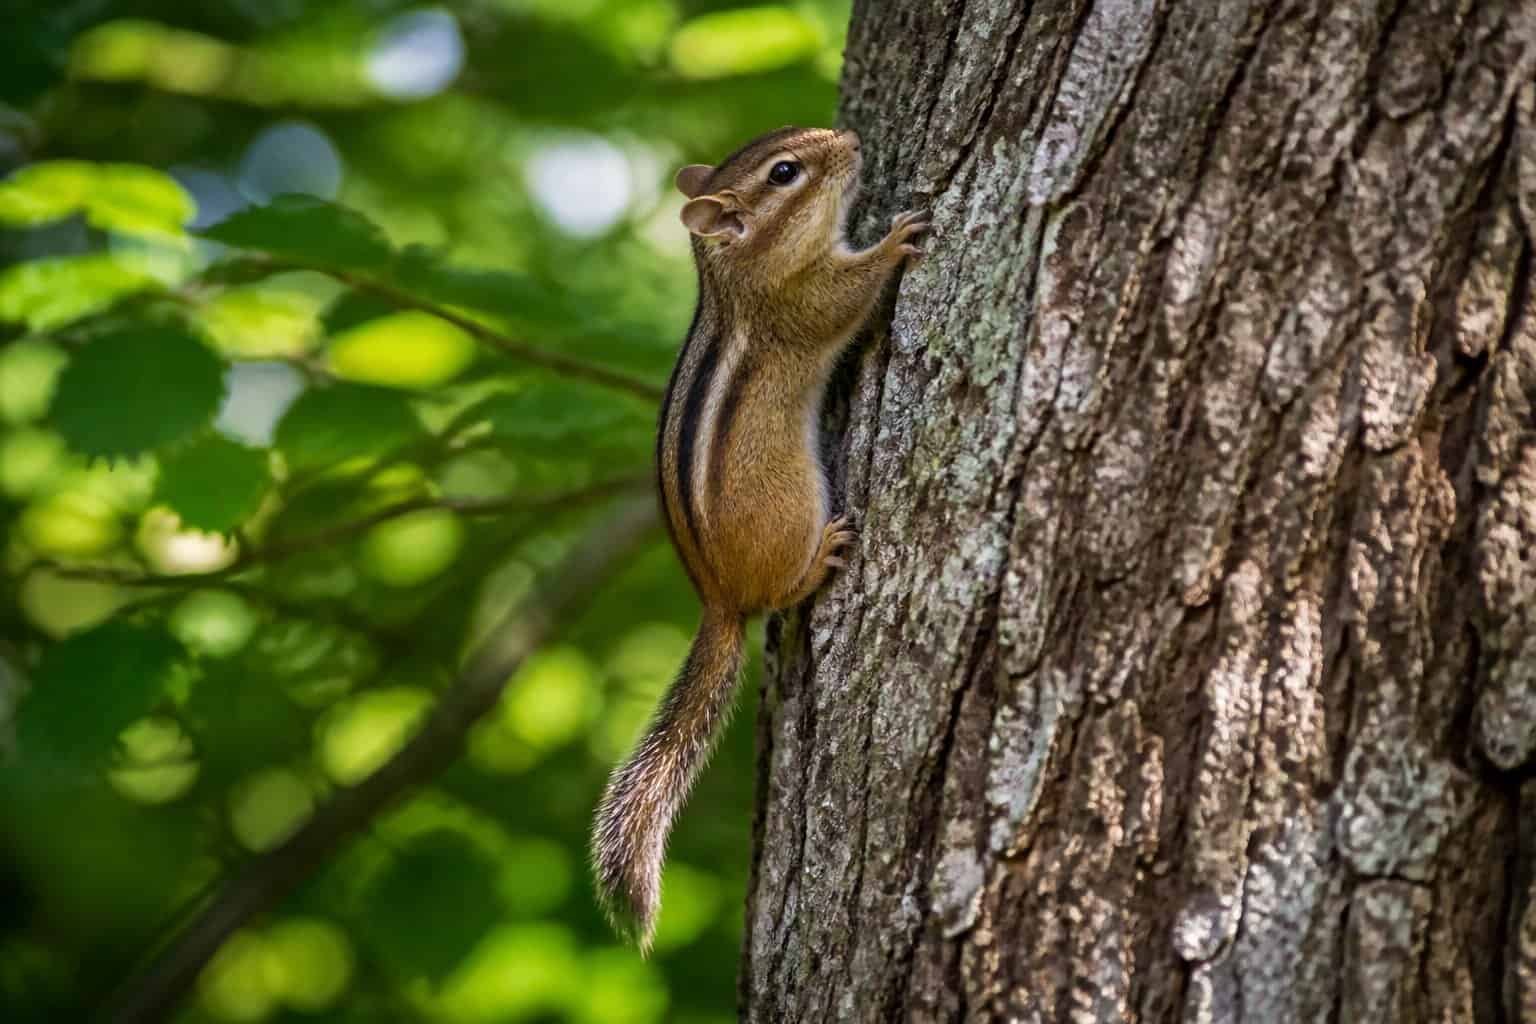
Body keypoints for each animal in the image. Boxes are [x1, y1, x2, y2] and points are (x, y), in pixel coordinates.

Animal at [590, 125, 929, 949]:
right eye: (784, 172)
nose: (852, 138)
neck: (736, 276)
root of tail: (718, 598)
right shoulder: (801, 303)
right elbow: (846, 296)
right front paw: (894, 240)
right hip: (795, 509)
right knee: (781, 592)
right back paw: (821, 560)